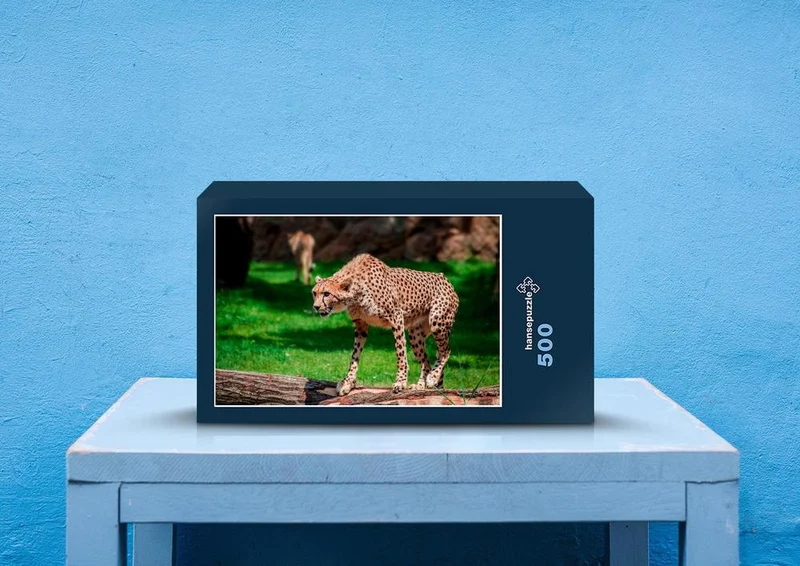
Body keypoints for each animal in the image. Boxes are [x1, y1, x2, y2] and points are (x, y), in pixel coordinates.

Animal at [311, 253, 459, 396]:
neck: (355, 294)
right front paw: (347, 382)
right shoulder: (360, 325)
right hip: (415, 334)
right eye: (314, 293)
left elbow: (400, 353)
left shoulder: (396, 316)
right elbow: (354, 355)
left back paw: (432, 378)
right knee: (426, 362)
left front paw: (400, 382)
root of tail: (444, 278)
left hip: (437, 321)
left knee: (445, 351)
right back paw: (423, 386)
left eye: (327, 293)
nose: (316, 307)